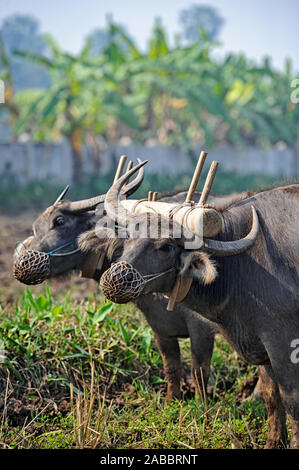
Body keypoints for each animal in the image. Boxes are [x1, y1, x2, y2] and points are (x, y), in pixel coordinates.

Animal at [100, 162, 299, 448]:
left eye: (166, 246)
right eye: (129, 238)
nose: (113, 280)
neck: (240, 268)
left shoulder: (282, 342)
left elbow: (291, 399)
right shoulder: (260, 346)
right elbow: (273, 397)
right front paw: (273, 442)